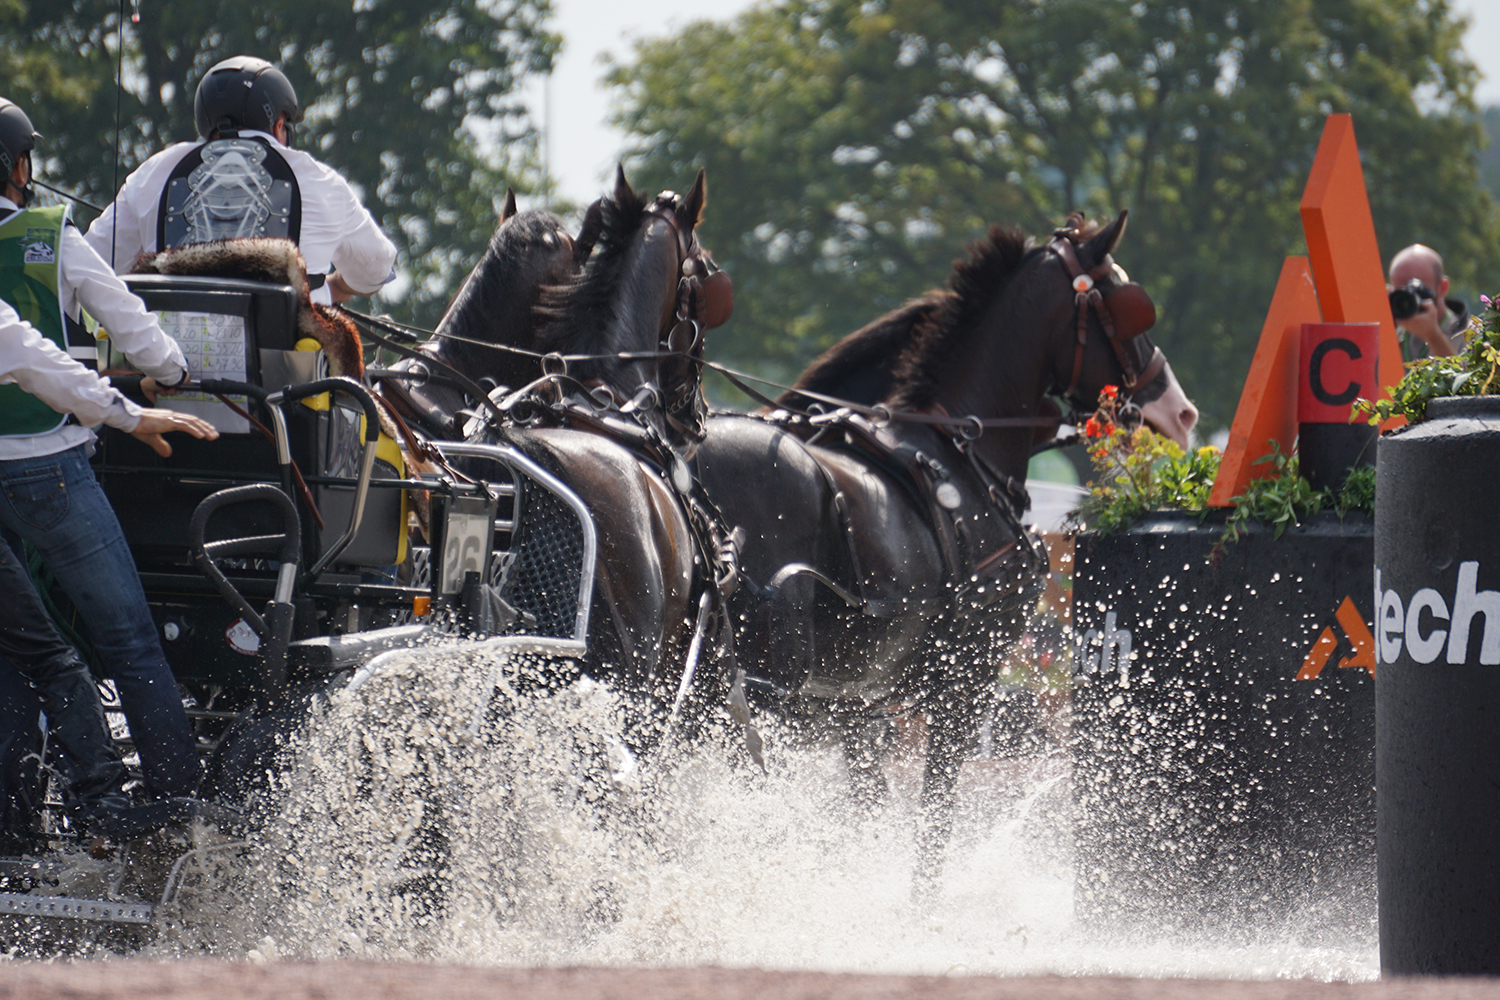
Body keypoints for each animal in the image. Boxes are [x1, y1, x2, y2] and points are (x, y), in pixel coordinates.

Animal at [690, 212, 1194, 893]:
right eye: (1127, 302)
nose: (1182, 411)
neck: (962, 450)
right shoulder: (962, 684)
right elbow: (931, 827)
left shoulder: (856, 703)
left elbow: (871, 813)